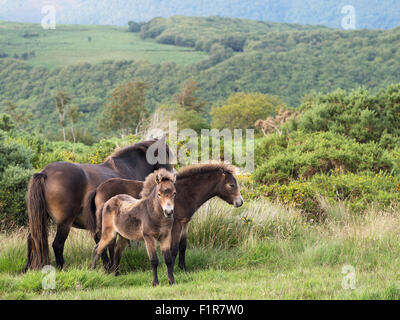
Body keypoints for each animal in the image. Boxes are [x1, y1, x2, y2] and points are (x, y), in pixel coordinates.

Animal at [25, 139, 173, 270]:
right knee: (57, 245)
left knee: (32, 239)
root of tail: (44, 173)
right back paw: (61, 268)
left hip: (41, 219)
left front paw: (107, 267)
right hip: (64, 223)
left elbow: (103, 245)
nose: (171, 176)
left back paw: (29, 268)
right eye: (167, 155)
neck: (130, 167)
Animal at [86, 162, 244, 270]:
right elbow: (173, 248)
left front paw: (183, 268)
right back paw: (107, 269)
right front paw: (172, 268)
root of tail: (98, 189)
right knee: (105, 244)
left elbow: (183, 246)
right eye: (231, 185)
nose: (240, 202)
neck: (184, 193)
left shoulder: (185, 223)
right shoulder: (176, 225)